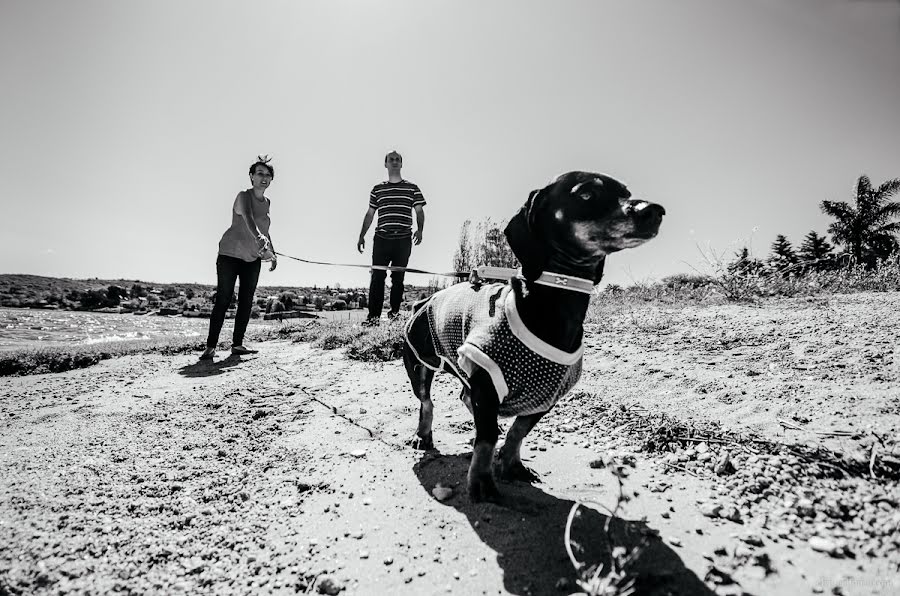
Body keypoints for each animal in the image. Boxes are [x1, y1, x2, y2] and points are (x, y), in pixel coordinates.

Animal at [400, 172, 660, 502]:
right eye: (586, 194)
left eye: (626, 192)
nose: (653, 210)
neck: (555, 305)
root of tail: (424, 300)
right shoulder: (487, 380)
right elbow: (487, 438)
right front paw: (482, 481)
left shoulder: (546, 396)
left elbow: (517, 432)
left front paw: (511, 465)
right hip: (419, 365)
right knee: (427, 403)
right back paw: (423, 436)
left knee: (465, 399)